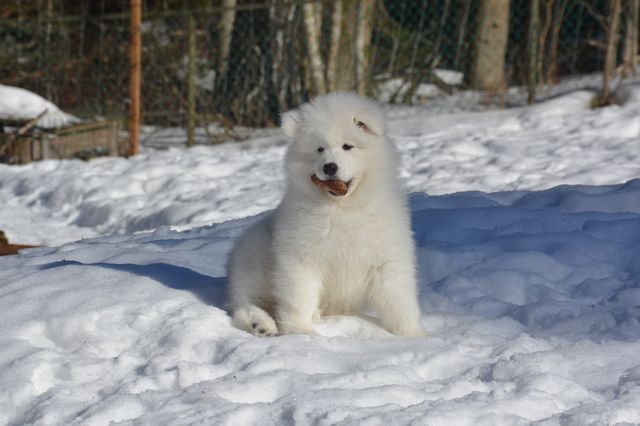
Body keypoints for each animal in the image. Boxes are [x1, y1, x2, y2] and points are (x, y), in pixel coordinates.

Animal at [226, 92, 424, 336]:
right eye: (319, 149)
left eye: (347, 146)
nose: (329, 167)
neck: (342, 207)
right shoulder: (302, 257)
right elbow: (299, 297)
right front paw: (301, 332)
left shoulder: (387, 258)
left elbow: (399, 300)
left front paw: (413, 335)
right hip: (255, 264)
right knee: (245, 305)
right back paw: (261, 323)